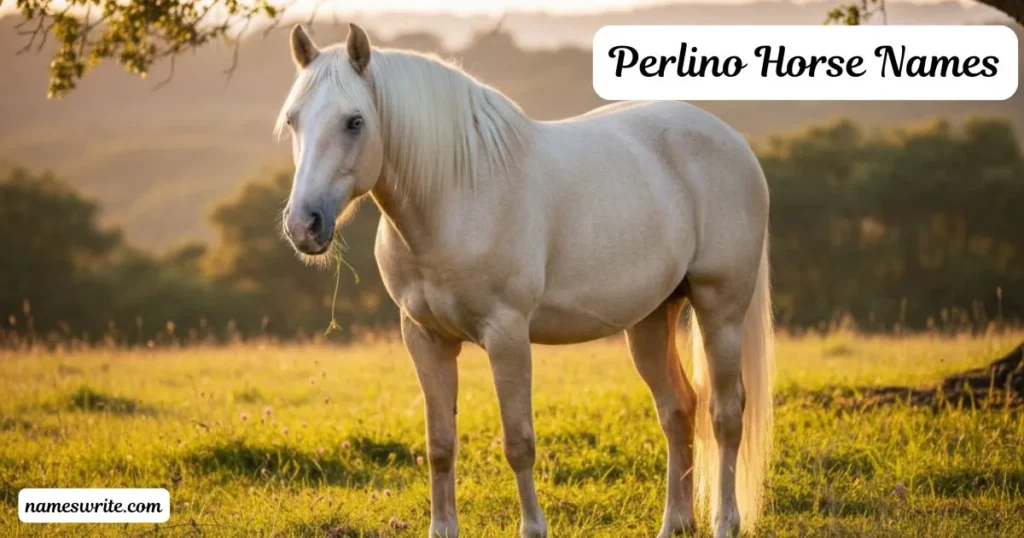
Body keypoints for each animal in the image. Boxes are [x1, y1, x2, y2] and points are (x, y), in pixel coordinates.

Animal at [276, 23, 775, 538]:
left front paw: (534, 528)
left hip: (720, 310)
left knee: (725, 414)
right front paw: (443, 528)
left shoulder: (507, 335)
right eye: (293, 120)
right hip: (653, 319)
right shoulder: (425, 338)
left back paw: (725, 521)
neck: (457, 195)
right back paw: (675, 522)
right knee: (678, 410)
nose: (304, 225)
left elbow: (518, 442)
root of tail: (733, 142)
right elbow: (440, 445)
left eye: (354, 121)